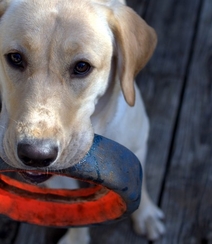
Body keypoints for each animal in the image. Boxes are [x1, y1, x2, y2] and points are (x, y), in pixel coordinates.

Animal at [0, 0, 165, 242]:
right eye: (15, 58)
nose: (36, 155)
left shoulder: (138, 145)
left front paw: (147, 215)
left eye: (81, 67)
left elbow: (141, 187)